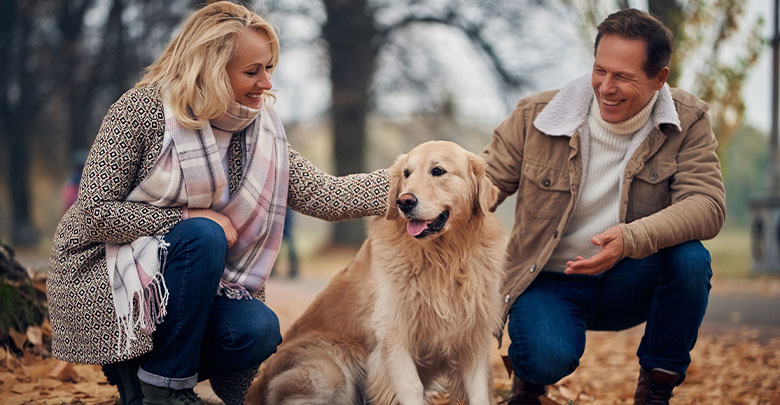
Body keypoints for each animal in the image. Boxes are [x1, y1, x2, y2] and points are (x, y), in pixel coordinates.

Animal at [247, 140, 508, 402]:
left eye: (438, 171)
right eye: (407, 173)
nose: (404, 201)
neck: (442, 258)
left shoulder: (472, 337)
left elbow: (479, 394)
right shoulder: (393, 333)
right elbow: (411, 388)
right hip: (329, 370)